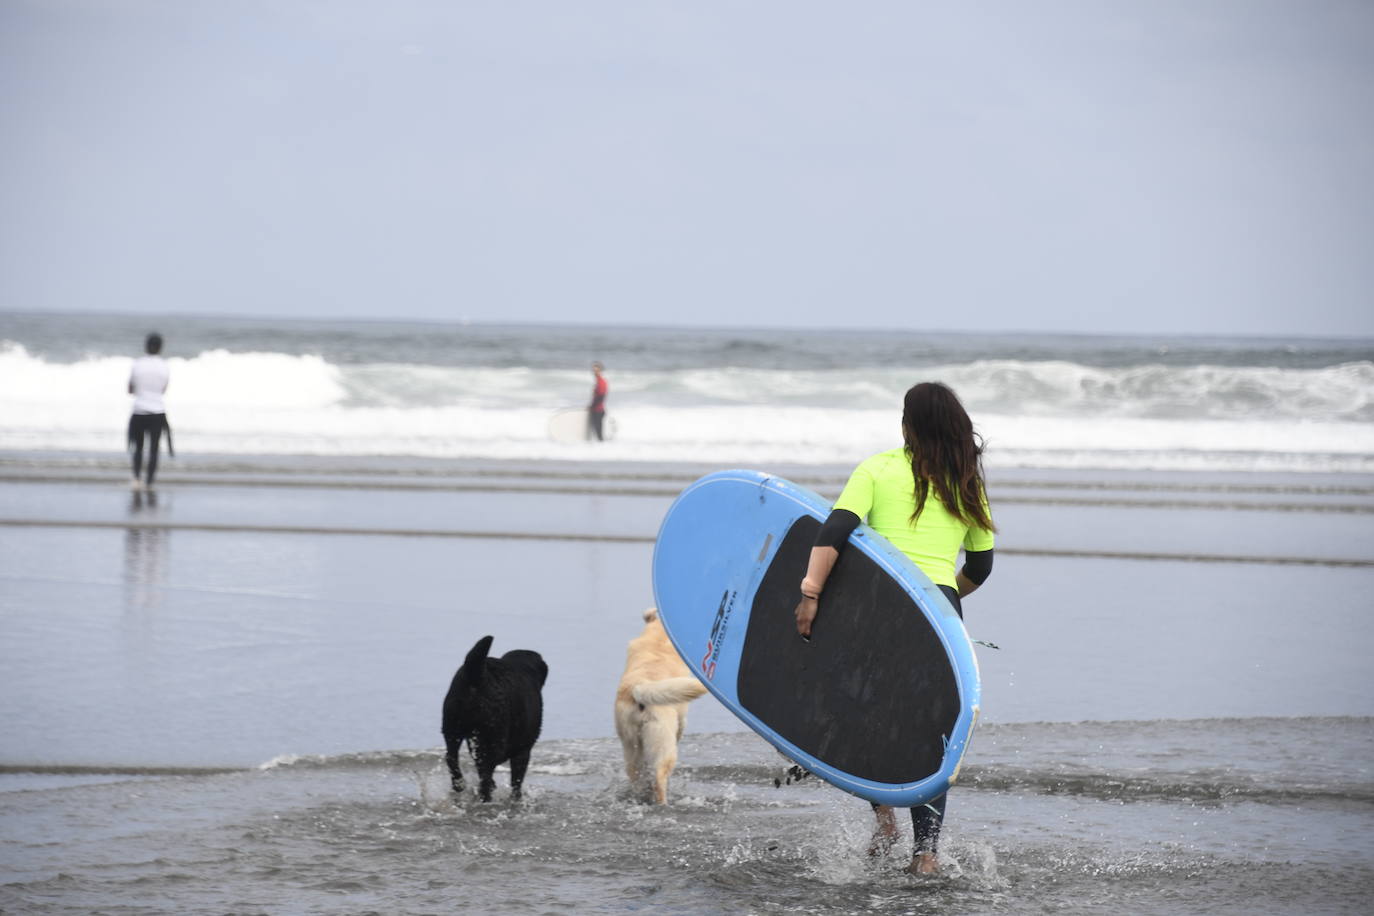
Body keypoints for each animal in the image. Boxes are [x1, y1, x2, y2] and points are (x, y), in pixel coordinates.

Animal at [439, 637, 546, 802]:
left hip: (451, 726)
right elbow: (517, 779)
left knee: (452, 757)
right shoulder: (524, 748)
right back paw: (485, 794)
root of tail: (476, 676)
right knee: (486, 769)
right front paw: (516, 797)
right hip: (494, 735)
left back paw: (459, 784)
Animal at [621, 609, 714, 802]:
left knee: (636, 775)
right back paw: (663, 802)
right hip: (664, 743)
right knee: (659, 778)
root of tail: (640, 687)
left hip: (630, 745)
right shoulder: (682, 718)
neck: (658, 639)